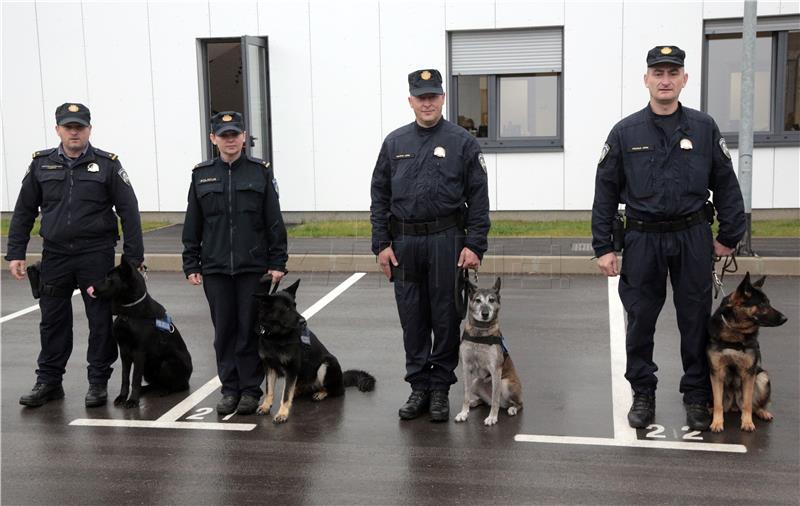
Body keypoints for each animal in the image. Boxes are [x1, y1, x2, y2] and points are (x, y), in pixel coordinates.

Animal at [88, 260, 193, 408]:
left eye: (109, 278)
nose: (90, 288)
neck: (128, 314)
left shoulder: (139, 353)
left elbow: (135, 378)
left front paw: (132, 400)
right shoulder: (124, 351)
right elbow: (125, 377)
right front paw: (122, 396)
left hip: (167, 364)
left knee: (179, 385)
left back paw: (166, 390)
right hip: (148, 368)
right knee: (155, 383)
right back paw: (147, 389)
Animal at [255, 278, 376, 422]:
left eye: (295, 305)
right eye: (285, 308)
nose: (303, 321)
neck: (276, 337)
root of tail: (341, 379)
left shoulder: (291, 370)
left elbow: (285, 395)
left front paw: (282, 413)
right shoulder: (269, 368)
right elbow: (269, 390)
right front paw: (266, 406)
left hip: (326, 365)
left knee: (335, 391)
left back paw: (321, 393)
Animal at [456, 276, 524, 426]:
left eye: (491, 300)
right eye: (478, 300)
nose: (485, 314)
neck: (480, 332)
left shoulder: (495, 370)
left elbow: (495, 398)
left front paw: (492, 417)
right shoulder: (466, 367)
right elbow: (465, 394)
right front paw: (464, 413)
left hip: (505, 384)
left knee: (517, 404)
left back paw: (512, 409)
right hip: (476, 383)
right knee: (484, 401)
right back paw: (474, 403)